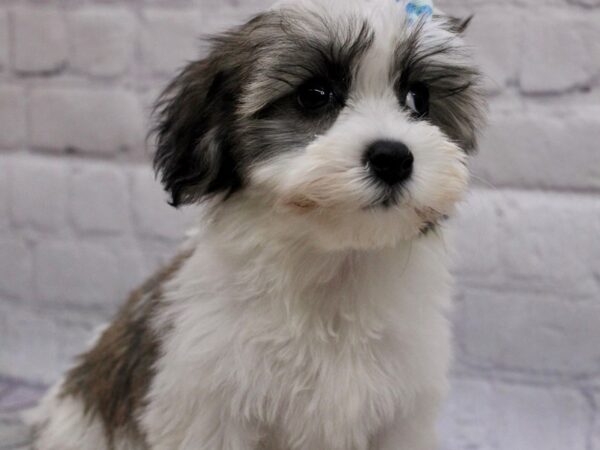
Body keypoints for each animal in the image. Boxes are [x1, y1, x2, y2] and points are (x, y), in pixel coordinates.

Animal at [30, 0, 486, 450]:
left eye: (418, 98)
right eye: (314, 95)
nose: (393, 157)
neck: (332, 275)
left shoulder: (402, 417)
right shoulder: (209, 408)